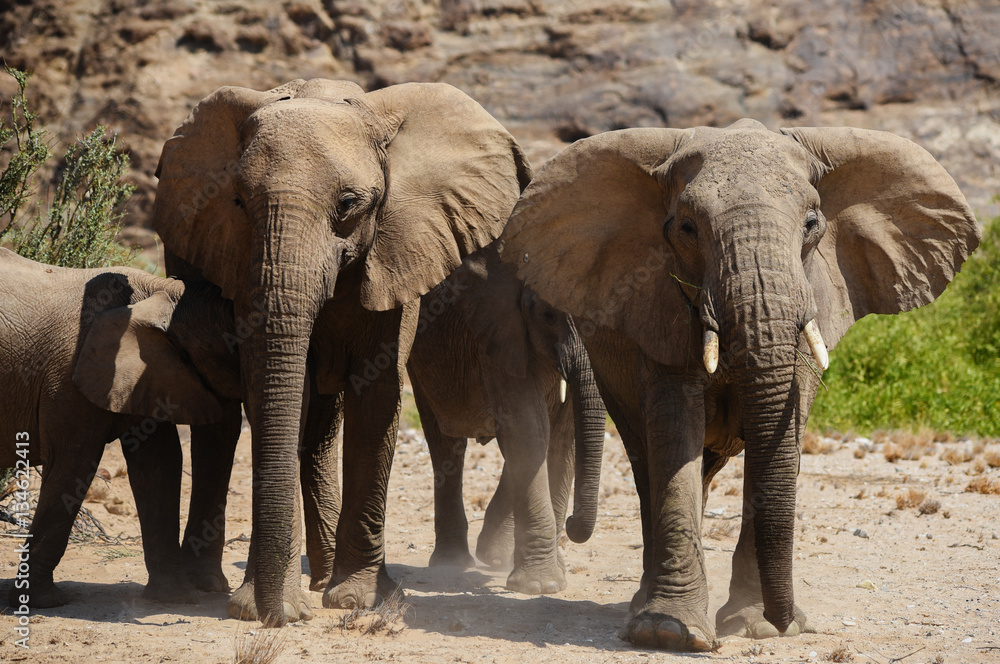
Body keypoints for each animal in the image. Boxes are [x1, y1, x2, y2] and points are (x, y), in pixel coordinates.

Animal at [0, 248, 241, 608]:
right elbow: (73, 464)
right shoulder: (69, 381)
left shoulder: (148, 373)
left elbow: (160, 463)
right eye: (237, 348)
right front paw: (45, 601)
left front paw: (175, 598)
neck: (160, 290)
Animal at [154, 79, 532, 628]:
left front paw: (356, 599)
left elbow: (375, 395)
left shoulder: (399, 252)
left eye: (350, 204)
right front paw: (257, 606)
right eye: (238, 201)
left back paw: (322, 579)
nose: (280, 619)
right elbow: (275, 392)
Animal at [500, 119, 976, 648]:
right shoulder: (657, 307)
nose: (789, 622)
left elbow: (783, 436)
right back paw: (644, 605)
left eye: (812, 223)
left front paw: (756, 627)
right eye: (687, 228)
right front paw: (668, 632)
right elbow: (675, 430)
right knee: (649, 465)